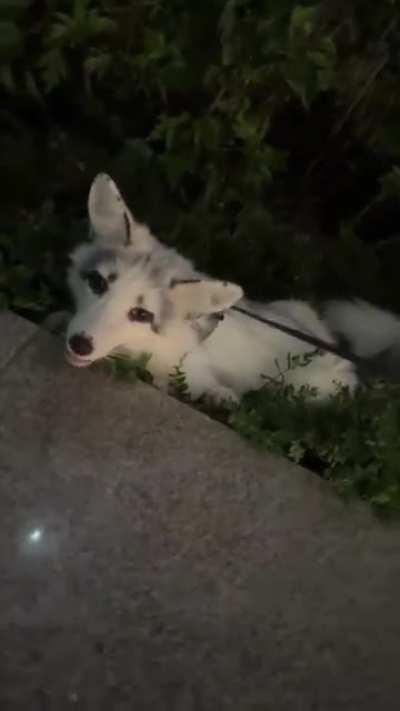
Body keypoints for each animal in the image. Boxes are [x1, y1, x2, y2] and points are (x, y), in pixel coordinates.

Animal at [66, 173, 400, 404]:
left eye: (141, 314)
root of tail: (331, 341)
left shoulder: (189, 368)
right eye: (97, 283)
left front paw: (214, 394)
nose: (79, 344)